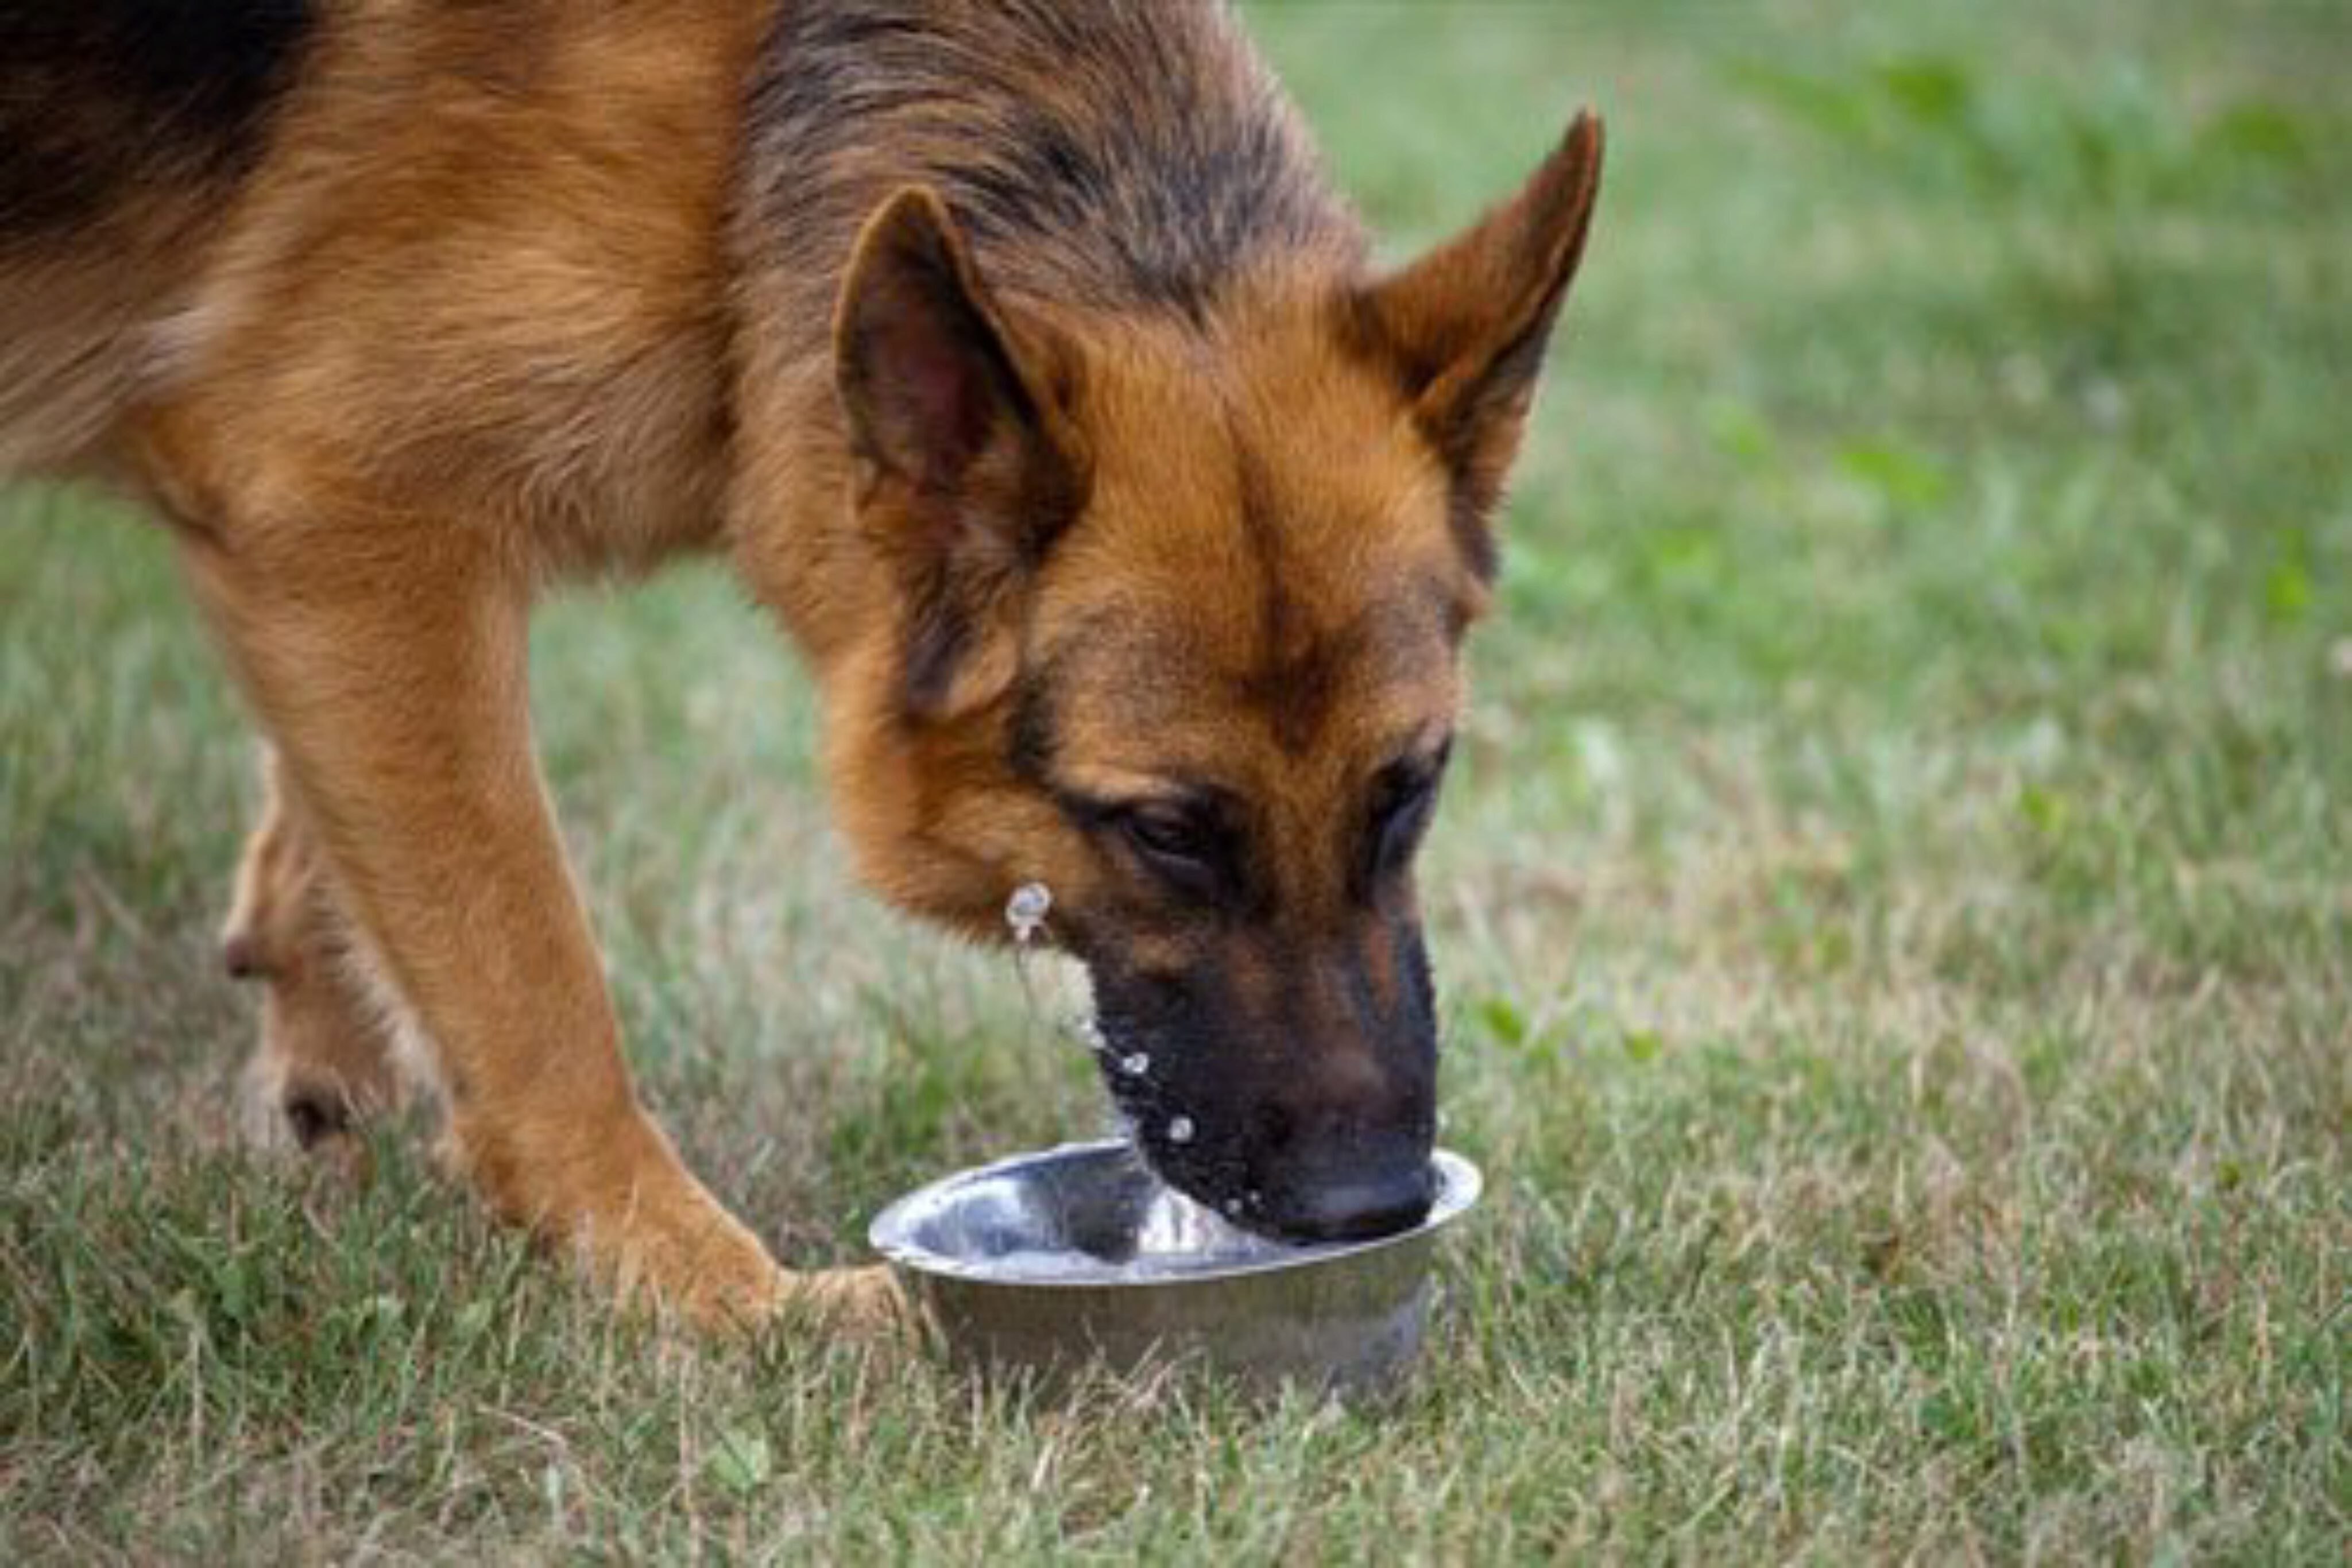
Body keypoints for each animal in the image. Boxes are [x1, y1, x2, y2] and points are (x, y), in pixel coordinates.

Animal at [0, 0, 1599, 1335]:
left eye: (1411, 787)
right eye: (1164, 831)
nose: (1372, 1205)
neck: (739, 123)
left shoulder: (327, 565)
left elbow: (365, 832)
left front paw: (321, 1005)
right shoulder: (340, 506)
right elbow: (531, 982)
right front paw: (718, 1301)